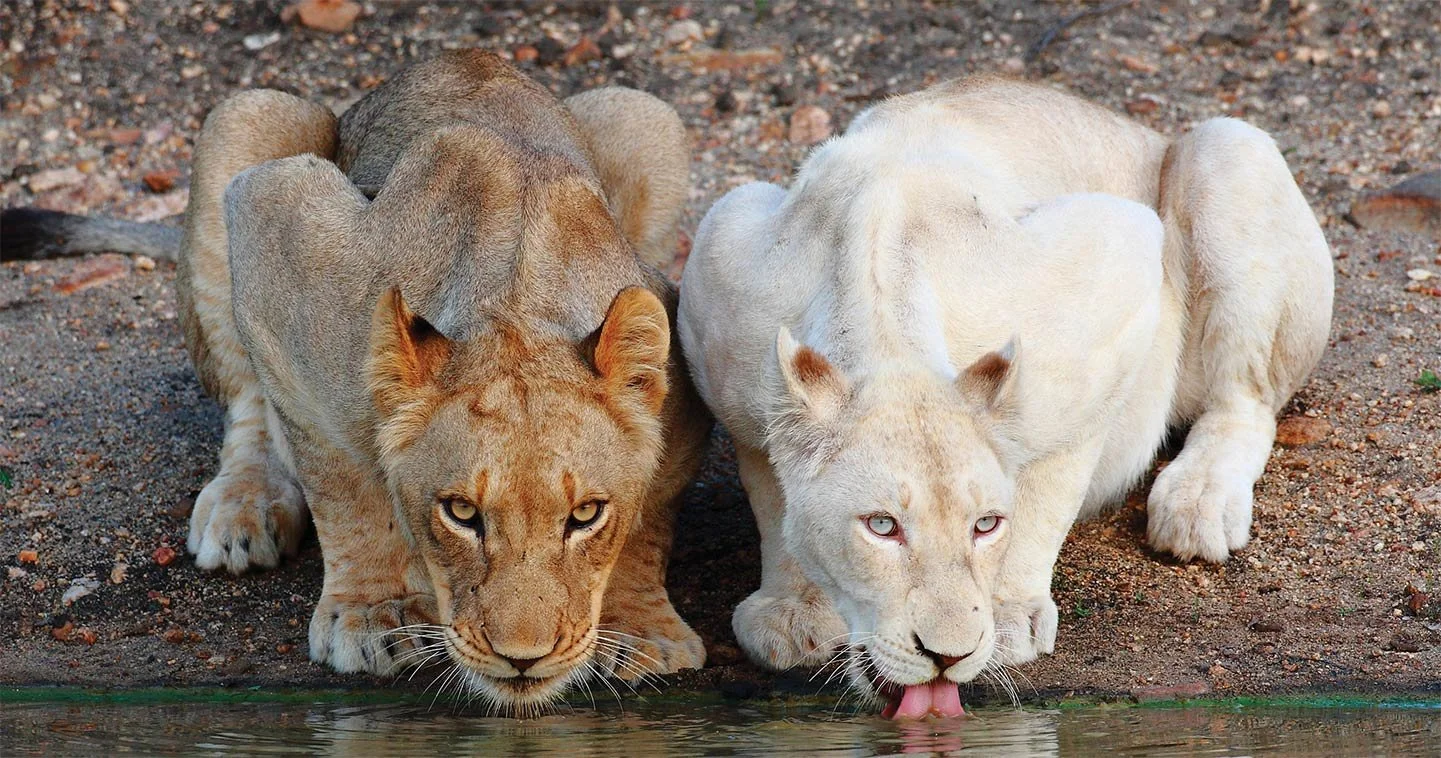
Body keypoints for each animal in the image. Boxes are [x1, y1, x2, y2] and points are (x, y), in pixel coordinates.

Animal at [3, 50, 712, 712]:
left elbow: (650, 518)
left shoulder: (679, 377)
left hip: (646, 117)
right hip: (246, 118)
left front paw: (641, 630)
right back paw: (244, 506)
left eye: (586, 515)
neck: (517, 300)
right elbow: (343, 479)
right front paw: (375, 614)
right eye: (461, 513)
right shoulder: (276, 223)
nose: (522, 659)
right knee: (248, 404)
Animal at [677, 76, 1332, 718]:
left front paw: (1011, 617)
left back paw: (1197, 506)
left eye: (985, 525)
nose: (947, 655)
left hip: (1226, 152)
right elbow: (769, 488)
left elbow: (1050, 487)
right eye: (882, 526)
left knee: (1245, 401)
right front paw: (793, 613)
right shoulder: (720, 270)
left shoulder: (1116, 272)